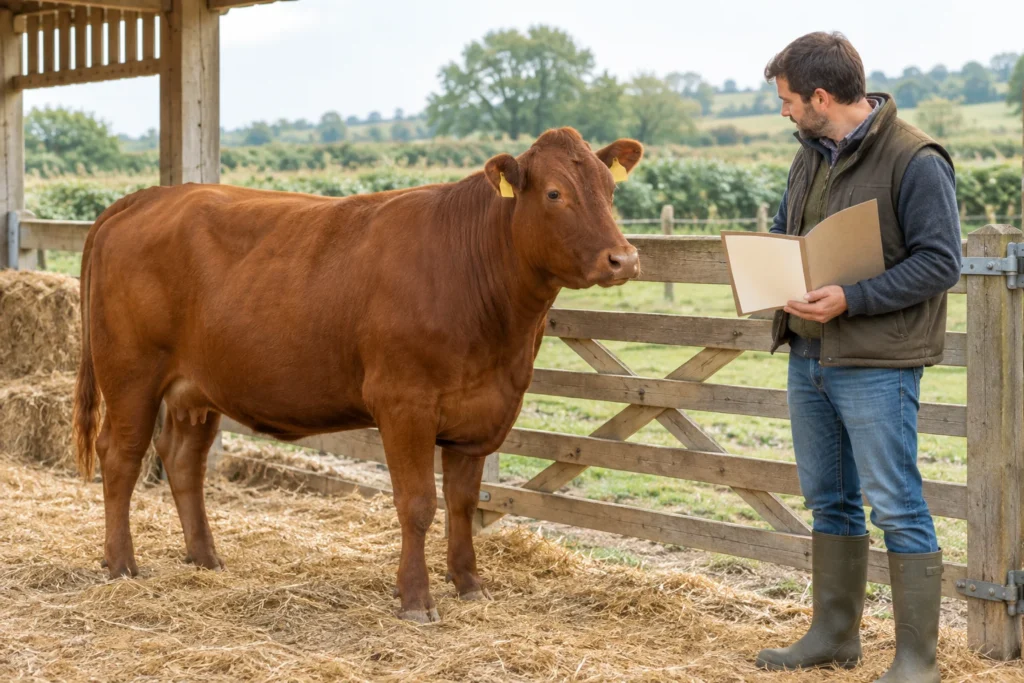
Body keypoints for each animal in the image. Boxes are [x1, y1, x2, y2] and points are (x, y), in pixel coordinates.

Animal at [72, 127, 643, 623]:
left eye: (611, 188)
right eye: (554, 193)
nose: (624, 258)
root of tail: (147, 197)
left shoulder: (480, 414)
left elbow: (461, 504)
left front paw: (469, 585)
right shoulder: (404, 403)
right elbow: (417, 504)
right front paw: (416, 600)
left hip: (197, 387)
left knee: (183, 459)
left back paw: (205, 558)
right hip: (131, 374)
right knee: (120, 457)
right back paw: (121, 565)